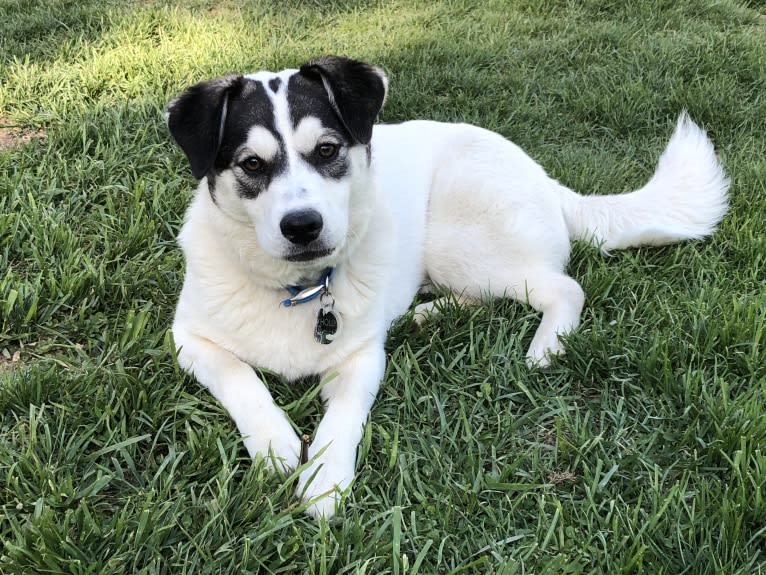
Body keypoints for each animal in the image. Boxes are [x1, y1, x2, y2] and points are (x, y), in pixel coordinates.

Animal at [168, 56, 732, 520]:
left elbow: (343, 418)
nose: (303, 226)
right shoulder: (187, 340)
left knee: (565, 288)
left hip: (458, 238)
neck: (299, 290)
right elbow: (240, 377)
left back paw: (545, 347)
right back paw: (426, 314)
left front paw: (326, 480)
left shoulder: (363, 357)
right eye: (251, 164)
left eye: (326, 150)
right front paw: (275, 443)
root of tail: (547, 180)